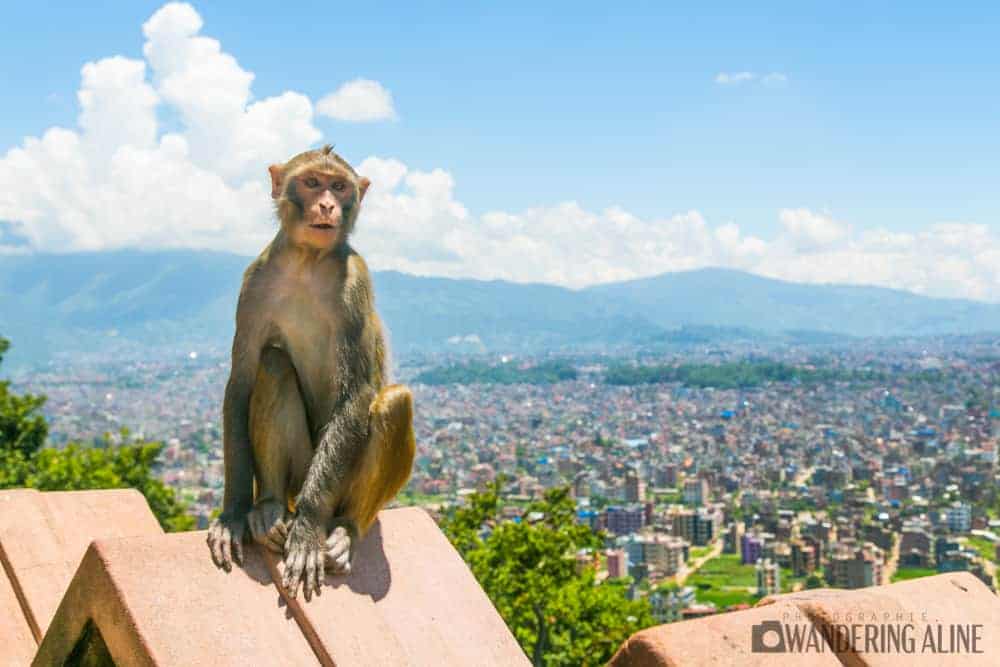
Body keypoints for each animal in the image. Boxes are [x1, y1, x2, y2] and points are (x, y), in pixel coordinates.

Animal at [206, 145, 415, 600]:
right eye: (312, 182)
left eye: (339, 186)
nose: (327, 205)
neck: (306, 261)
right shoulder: (254, 283)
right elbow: (241, 384)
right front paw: (232, 513)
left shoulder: (356, 282)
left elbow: (356, 394)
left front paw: (306, 531)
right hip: (297, 475)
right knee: (273, 363)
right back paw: (267, 508)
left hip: (337, 484)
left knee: (393, 402)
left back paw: (343, 531)